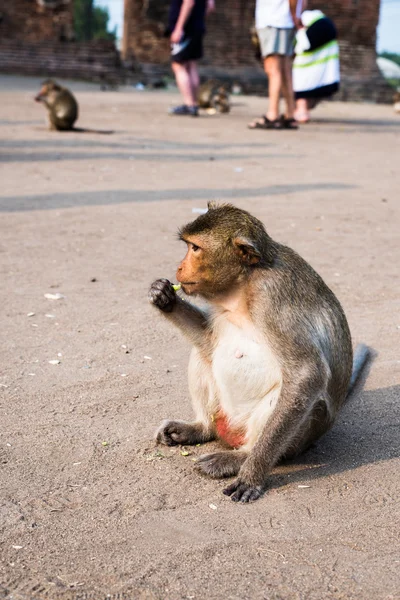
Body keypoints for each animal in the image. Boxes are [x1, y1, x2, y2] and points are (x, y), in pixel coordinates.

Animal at [148, 204, 370, 504]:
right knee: (204, 356)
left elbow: (306, 374)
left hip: (299, 437)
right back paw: (200, 428)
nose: (180, 267)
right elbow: (207, 340)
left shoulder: (272, 297)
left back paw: (241, 457)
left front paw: (252, 475)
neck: (243, 284)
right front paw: (164, 297)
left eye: (195, 248)